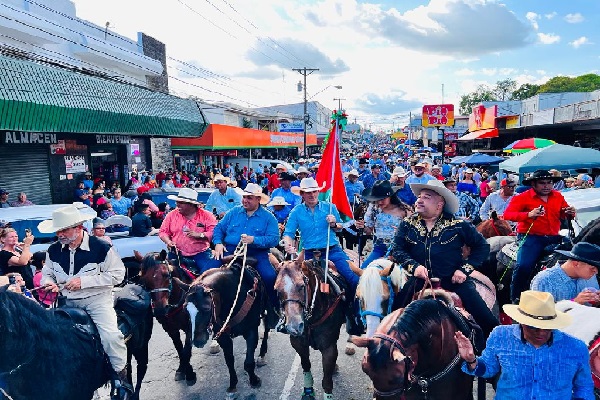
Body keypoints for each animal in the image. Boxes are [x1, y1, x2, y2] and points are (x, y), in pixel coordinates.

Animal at [137, 252, 196, 386]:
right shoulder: (170, 329)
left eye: (165, 274)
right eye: (144, 279)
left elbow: (186, 349)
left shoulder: (190, 325)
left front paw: (189, 374)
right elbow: (179, 348)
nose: (160, 309)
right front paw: (182, 369)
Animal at [274, 255, 346, 398]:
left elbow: (327, 381)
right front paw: (308, 391)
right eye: (277, 290)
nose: (294, 326)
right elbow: (306, 366)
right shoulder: (298, 343)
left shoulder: (329, 348)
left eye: (302, 286)